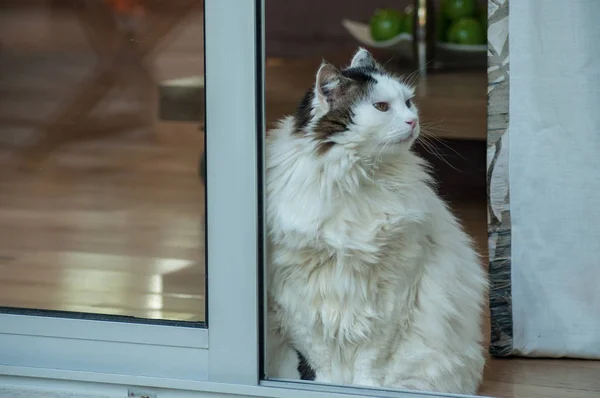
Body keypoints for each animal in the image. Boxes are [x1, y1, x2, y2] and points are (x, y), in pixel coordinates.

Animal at [264, 48, 490, 394]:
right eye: (381, 107)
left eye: (408, 102)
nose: (413, 121)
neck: (356, 177)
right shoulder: (298, 298)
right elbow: (322, 359)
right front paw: (331, 387)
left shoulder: (393, 291)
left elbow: (370, 359)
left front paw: (364, 388)